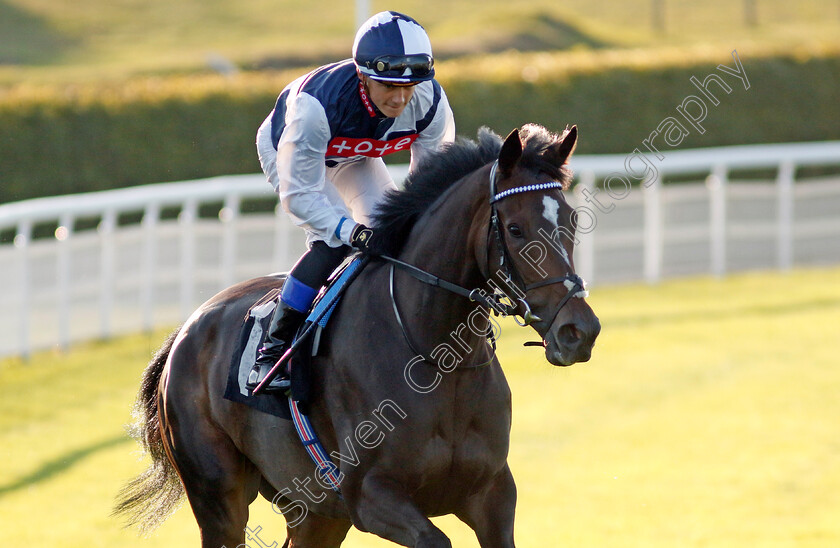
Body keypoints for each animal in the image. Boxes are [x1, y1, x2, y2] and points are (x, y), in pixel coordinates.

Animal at [118, 124, 600, 548]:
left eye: (572, 220)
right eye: (515, 229)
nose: (580, 331)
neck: (435, 357)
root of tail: (183, 331)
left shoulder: (493, 493)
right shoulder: (369, 495)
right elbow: (434, 538)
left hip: (314, 511)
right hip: (220, 500)